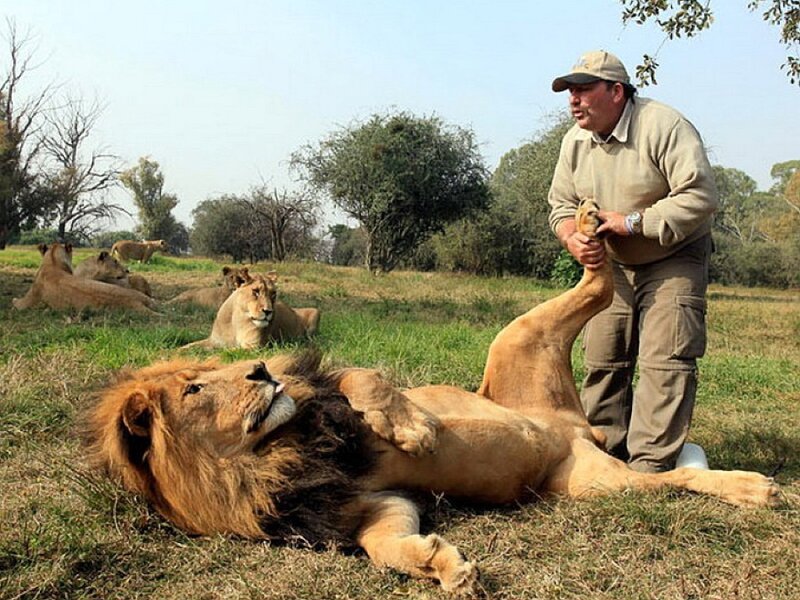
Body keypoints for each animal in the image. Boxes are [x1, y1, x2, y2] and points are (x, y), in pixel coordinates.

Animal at [13, 243, 159, 314]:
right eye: (115, 262)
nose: (128, 270)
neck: (53, 262)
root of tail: (134, 301)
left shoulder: (27, 301)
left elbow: (17, 303)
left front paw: (14, 300)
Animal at [181, 271, 320, 349]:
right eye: (255, 292)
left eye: (273, 294)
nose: (268, 311)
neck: (236, 321)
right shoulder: (214, 341)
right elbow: (190, 346)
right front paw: (178, 351)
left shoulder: (253, 347)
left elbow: (223, 352)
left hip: (316, 311)